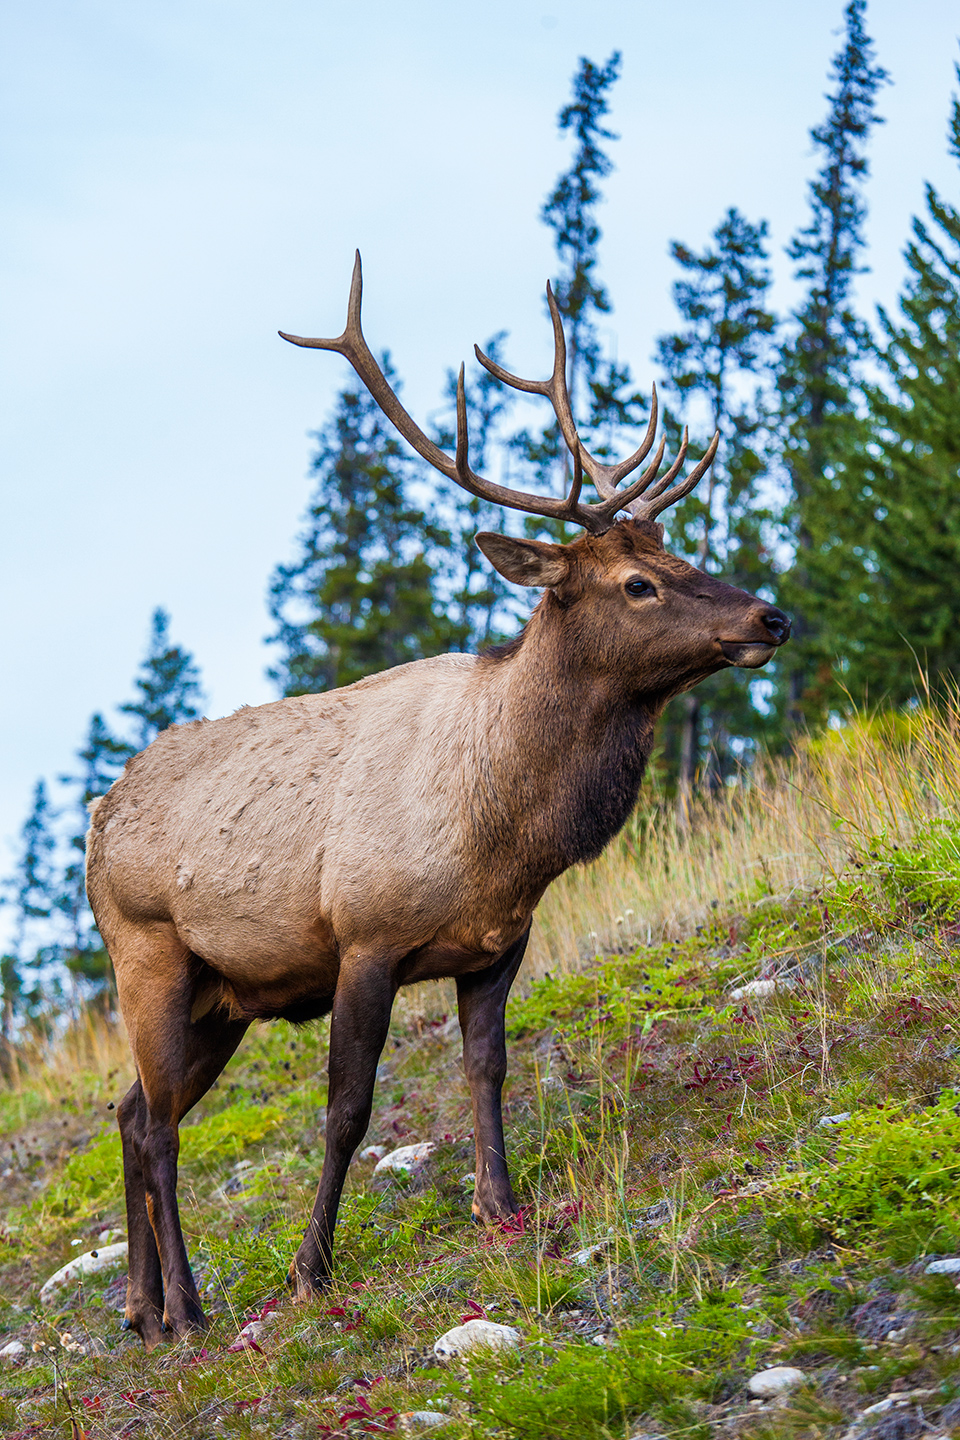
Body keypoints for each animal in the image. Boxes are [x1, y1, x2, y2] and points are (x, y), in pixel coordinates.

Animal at [84, 253, 788, 1342]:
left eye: (681, 555)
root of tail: (97, 818)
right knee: (157, 1127)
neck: (507, 829)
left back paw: (142, 1306)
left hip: (222, 995)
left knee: (125, 1110)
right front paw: (311, 1267)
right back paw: (190, 1307)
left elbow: (485, 1066)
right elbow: (348, 1108)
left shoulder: (499, 945)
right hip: (147, 951)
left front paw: (500, 1204)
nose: (770, 615)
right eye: (637, 583)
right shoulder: (364, 938)